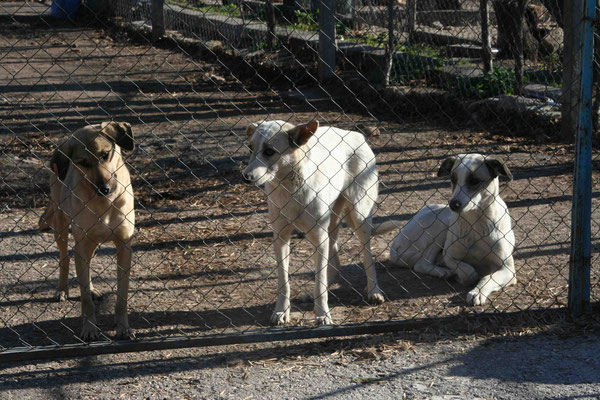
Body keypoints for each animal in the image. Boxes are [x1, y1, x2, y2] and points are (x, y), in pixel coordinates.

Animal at [40, 122, 137, 340]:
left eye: (105, 154)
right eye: (82, 162)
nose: (104, 188)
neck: (104, 203)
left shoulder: (124, 246)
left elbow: (122, 295)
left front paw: (123, 327)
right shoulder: (81, 244)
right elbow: (85, 299)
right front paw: (90, 328)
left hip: (89, 243)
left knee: (87, 263)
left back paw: (92, 289)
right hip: (62, 225)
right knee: (65, 257)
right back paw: (62, 289)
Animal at [243, 119, 384, 324]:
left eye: (269, 151)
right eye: (250, 148)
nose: (245, 177)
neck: (290, 189)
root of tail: (354, 134)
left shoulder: (319, 238)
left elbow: (320, 284)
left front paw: (323, 315)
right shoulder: (281, 238)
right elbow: (284, 282)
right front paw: (281, 311)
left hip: (359, 218)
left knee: (367, 258)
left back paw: (374, 291)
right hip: (328, 228)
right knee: (334, 264)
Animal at [380, 155, 516, 304]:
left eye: (474, 180)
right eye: (453, 179)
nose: (453, 204)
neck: (475, 224)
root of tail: (394, 248)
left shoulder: (508, 269)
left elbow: (487, 278)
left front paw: (477, 292)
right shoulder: (449, 256)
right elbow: (469, 272)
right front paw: (461, 277)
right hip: (441, 224)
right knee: (421, 264)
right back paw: (444, 272)